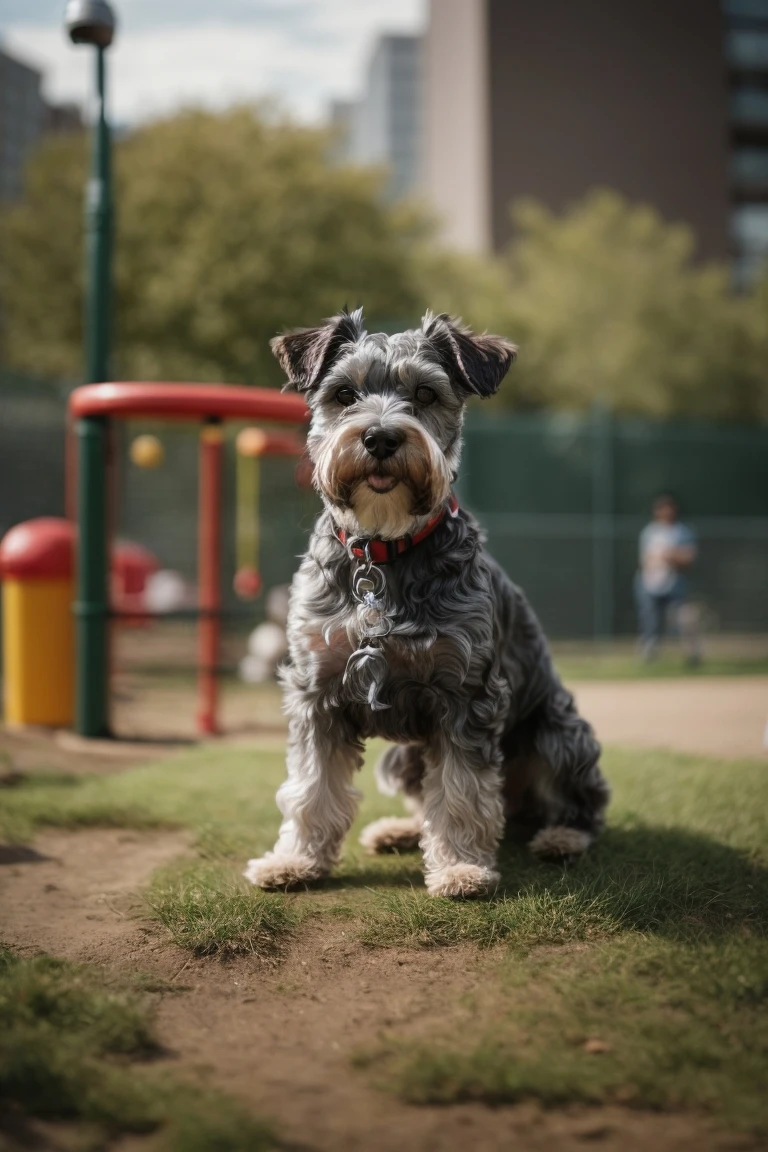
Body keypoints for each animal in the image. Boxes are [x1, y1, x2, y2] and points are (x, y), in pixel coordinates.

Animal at [242, 308, 607, 898]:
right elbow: (310, 787)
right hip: (404, 754)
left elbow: (462, 792)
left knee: (580, 804)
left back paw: (561, 838)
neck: (383, 553)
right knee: (424, 797)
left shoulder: (467, 696)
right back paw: (399, 831)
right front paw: (294, 860)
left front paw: (460, 868)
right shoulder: (316, 692)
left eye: (426, 393)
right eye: (344, 393)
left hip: (558, 735)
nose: (380, 436)